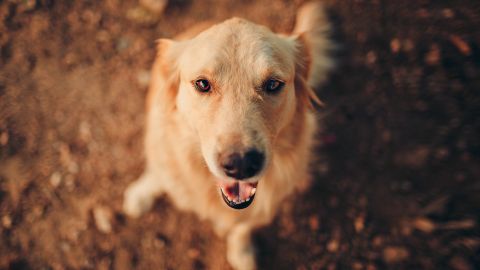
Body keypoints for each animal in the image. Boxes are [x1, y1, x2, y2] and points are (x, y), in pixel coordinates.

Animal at [124, 2, 334, 270]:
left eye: (273, 84)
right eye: (202, 84)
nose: (241, 164)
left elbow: (243, 226)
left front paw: (241, 251)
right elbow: (160, 173)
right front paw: (143, 192)